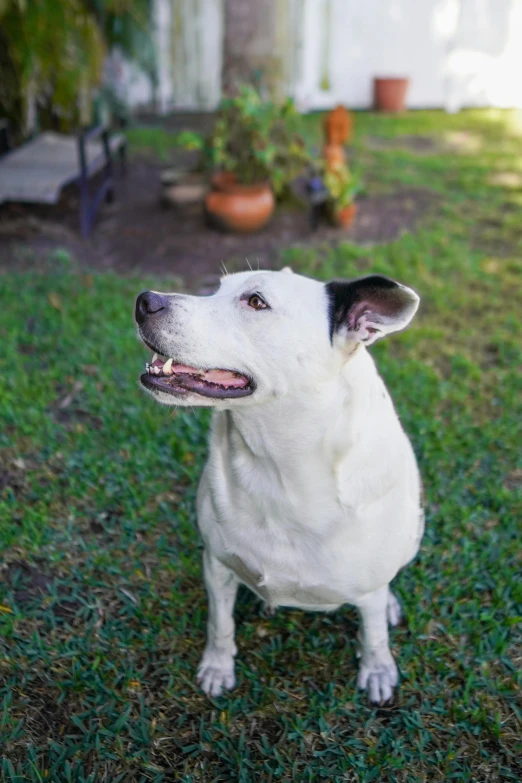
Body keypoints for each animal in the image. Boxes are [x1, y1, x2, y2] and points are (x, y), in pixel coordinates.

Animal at [134, 268, 422, 704]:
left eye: (256, 302)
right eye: (218, 288)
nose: (145, 300)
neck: (276, 464)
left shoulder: (368, 592)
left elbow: (373, 635)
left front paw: (377, 670)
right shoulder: (216, 565)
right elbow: (220, 624)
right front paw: (217, 666)